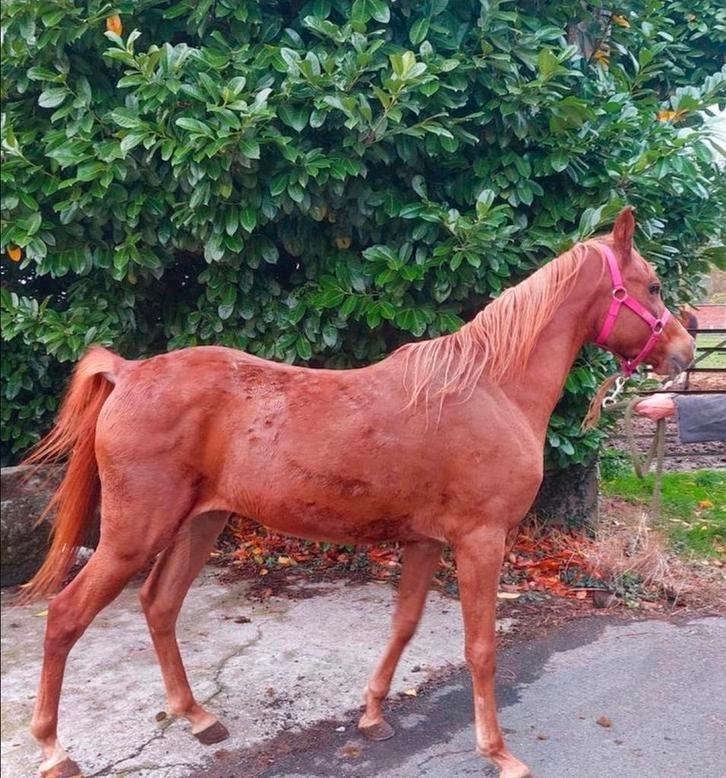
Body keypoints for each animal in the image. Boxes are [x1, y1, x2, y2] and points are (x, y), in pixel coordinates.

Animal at [23, 207, 693, 778]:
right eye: (653, 286)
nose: (685, 352)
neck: (491, 387)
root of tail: (130, 372)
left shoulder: (426, 542)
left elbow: (404, 624)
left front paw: (372, 715)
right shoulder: (480, 541)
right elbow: (480, 647)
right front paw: (499, 753)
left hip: (199, 524)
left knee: (159, 605)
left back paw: (197, 717)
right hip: (133, 536)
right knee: (65, 616)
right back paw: (55, 750)